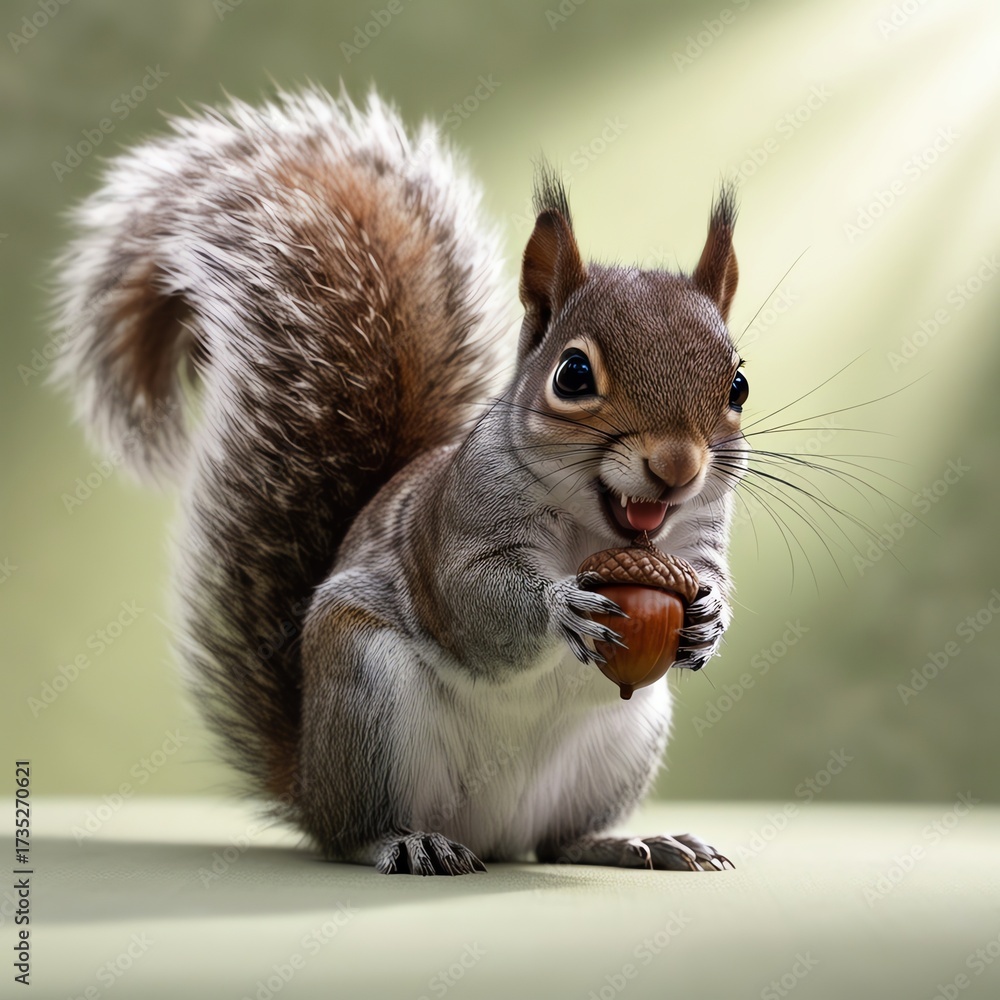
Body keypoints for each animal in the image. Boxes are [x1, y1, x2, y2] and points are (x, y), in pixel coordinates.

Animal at [53, 87, 748, 875]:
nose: (678, 468)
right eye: (573, 375)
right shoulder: (456, 525)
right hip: (365, 698)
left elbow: (709, 576)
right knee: (357, 832)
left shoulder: (699, 535)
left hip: (622, 742)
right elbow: (476, 601)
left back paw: (634, 841)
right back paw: (406, 840)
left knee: (558, 840)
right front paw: (562, 606)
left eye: (738, 384)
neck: (596, 527)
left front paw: (710, 619)